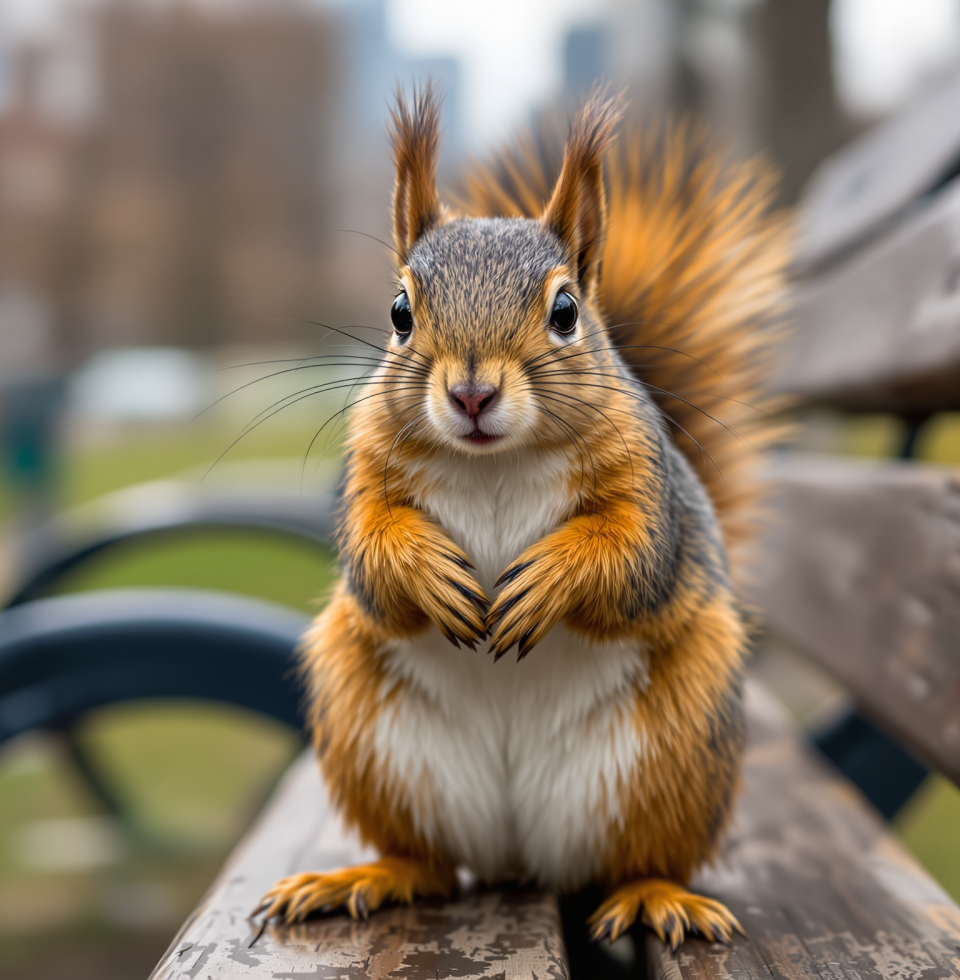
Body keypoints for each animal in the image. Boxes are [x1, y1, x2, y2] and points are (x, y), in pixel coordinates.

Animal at [255, 84, 790, 950]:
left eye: (566, 310)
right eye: (399, 311)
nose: (471, 393)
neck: (493, 465)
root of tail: (522, 859)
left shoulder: (654, 500)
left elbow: (632, 561)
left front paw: (548, 578)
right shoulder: (365, 481)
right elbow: (372, 561)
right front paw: (428, 571)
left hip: (681, 745)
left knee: (641, 856)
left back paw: (655, 895)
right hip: (372, 735)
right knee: (431, 865)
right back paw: (364, 876)